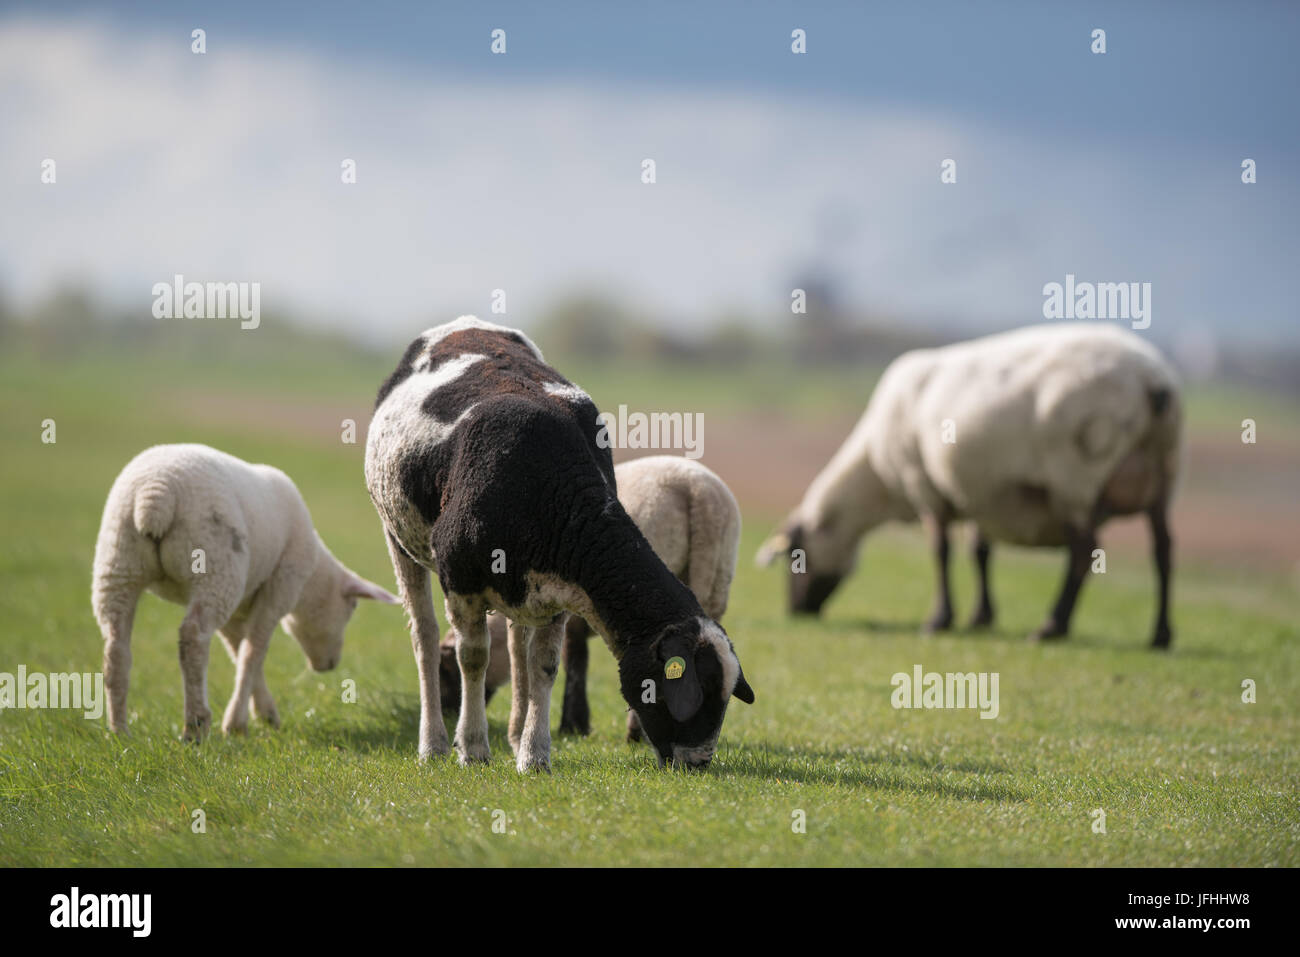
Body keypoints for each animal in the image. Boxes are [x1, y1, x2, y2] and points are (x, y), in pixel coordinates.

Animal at [92, 442, 397, 738]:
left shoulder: (237, 606)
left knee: (116, 647)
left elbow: (239, 651)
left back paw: (119, 731)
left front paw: (264, 712)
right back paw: (196, 725)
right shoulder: (279, 588)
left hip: (119, 565)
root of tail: (155, 493)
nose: (330, 665)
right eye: (353, 607)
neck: (311, 581)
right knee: (193, 637)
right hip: (215, 565)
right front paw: (237, 723)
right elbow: (253, 652)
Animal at [436, 455, 743, 738]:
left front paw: (572, 725)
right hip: (717, 583)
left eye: (447, 669)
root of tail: (699, 494)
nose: (449, 713)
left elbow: (575, 660)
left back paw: (635, 732)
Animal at [759, 323, 1185, 650]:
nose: (797, 612)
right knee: (1163, 551)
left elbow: (941, 551)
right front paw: (982, 616)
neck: (879, 482)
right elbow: (980, 551)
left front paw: (939, 619)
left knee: (1083, 551)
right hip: (1163, 477)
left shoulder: (924, 483)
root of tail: (1153, 382)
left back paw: (1052, 626)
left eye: (796, 556)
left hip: (1076, 474)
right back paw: (1160, 635)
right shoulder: (981, 491)